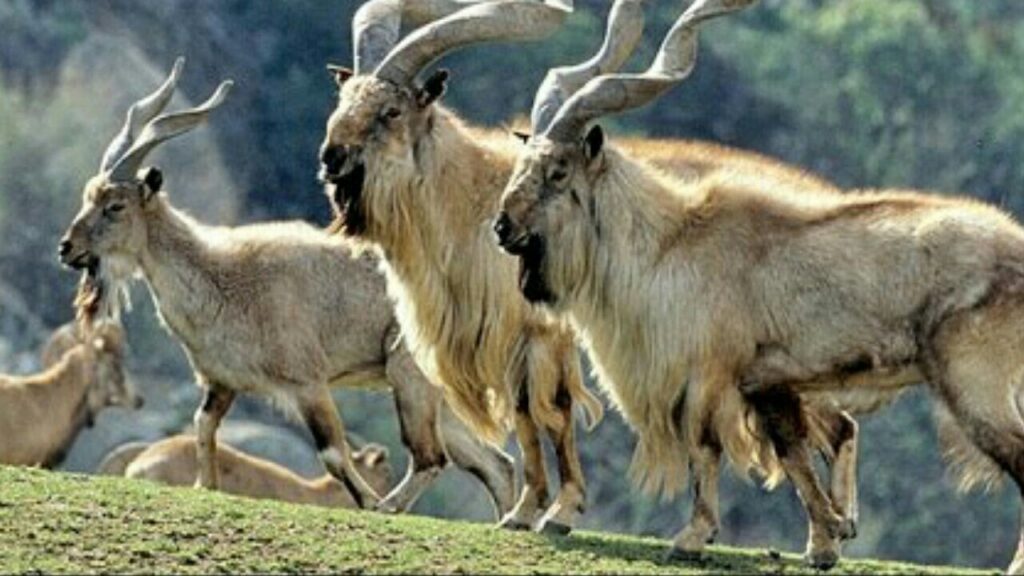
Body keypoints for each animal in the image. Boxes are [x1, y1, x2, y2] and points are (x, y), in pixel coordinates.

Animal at [58, 59, 516, 516]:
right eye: (86, 196)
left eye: (115, 206)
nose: (67, 248)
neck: (221, 279)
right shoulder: (221, 383)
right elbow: (203, 426)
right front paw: (206, 485)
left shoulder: (307, 382)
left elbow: (333, 453)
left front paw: (368, 501)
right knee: (497, 464)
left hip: (408, 374)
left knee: (431, 458)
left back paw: (393, 507)